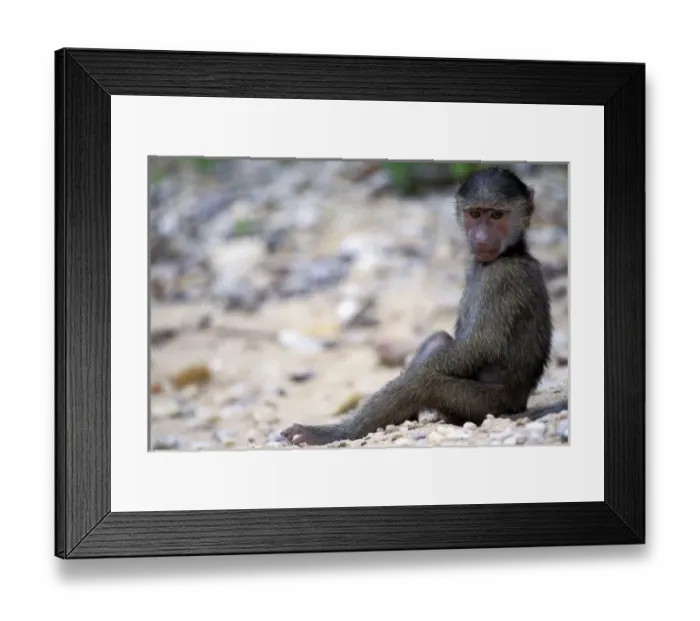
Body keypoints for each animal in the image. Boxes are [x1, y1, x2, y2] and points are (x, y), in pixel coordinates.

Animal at [280, 166, 568, 446]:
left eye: (497, 215)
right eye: (475, 214)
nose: (482, 238)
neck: (510, 253)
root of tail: (519, 404)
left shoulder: (502, 279)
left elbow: (478, 347)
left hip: (486, 405)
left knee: (424, 383)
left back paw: (335, 432)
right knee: (437, 342)